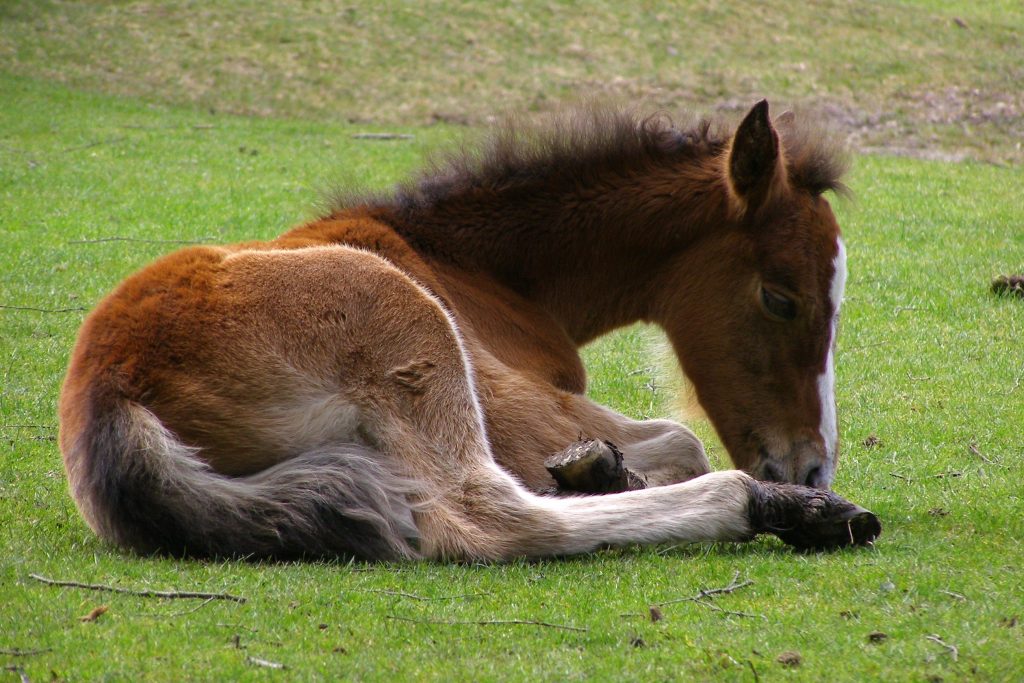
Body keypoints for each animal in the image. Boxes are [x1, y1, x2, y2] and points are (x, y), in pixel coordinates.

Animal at [58, 100, 881, 561]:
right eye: (781, 298)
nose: (810, 468)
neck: (477, 266)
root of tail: (114, 389)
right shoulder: (515, 403)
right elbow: (681, 440)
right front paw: (604, 470)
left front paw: (600, 470)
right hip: (412, 334)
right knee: (490, 518)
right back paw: (772, 509)